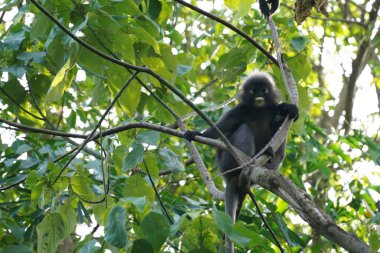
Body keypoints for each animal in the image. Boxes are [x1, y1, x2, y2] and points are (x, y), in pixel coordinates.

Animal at [184, 71, 296, 253]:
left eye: (263, 90)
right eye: (253, 90)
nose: (258, 95)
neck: (258, 109)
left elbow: (280, 125)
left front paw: (286, 109)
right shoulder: (238, 110)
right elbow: (222, 127)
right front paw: (195, 133)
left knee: (279, 145)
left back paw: (268, 156)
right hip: (227, 161)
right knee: (244, 128)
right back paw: (248, 163)